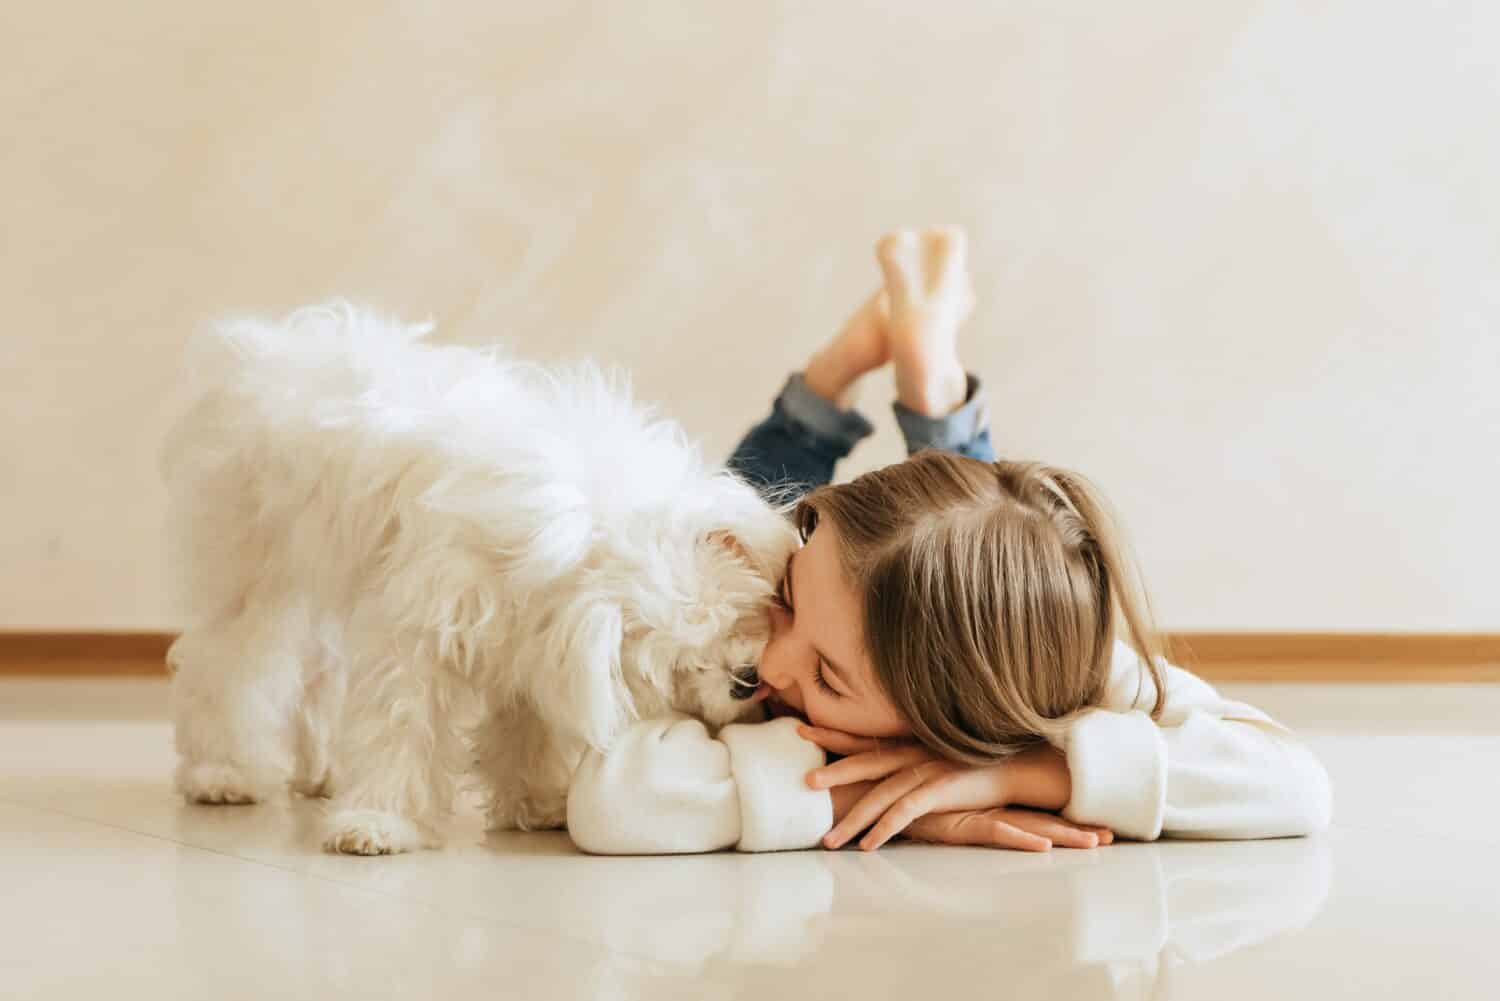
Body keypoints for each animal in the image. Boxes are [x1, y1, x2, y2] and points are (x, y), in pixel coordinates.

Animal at [159, 301, 798, 858]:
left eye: (738, 613)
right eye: (681, 665)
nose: (744, 681)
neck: (594, 525)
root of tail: (261, 346)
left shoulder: (528, 643)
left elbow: (527, 731)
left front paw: (538, 803)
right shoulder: (420, 634)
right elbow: (402, 728)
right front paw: (379, 825)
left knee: (318, 677)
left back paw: (322, 772)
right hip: (253, 575)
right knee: (230, 667)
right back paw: (224, 774)